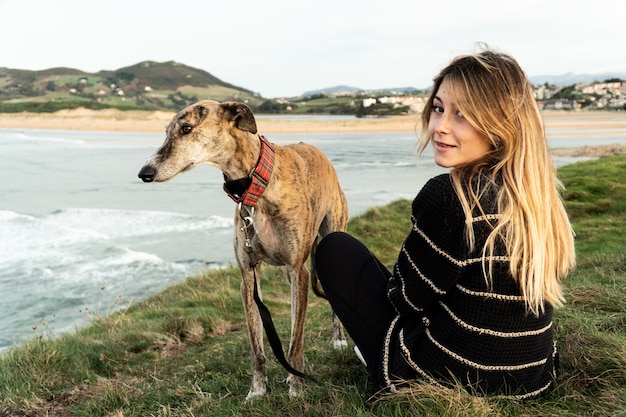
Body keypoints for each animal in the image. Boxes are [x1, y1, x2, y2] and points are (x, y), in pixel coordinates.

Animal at [137, 99, 348, 398]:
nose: (145, 173)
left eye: (186, 128)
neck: (256, 186)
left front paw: (297, 386)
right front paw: (258, 390)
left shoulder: (299, 270)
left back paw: (338, 340)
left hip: (330, 236)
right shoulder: (248, 276)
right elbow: (256, 345)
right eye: (167, 131)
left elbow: (296, 341)